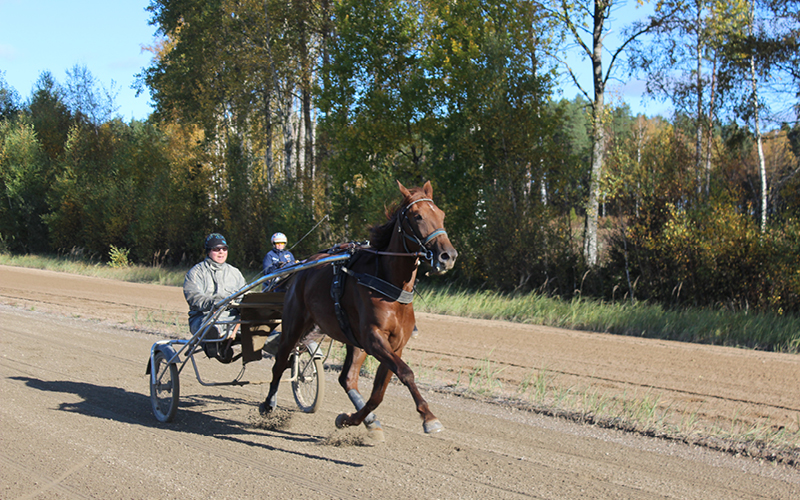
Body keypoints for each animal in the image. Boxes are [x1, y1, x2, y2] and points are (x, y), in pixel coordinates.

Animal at [258, 182, 456, 436]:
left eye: (441, 215)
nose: (448, 256)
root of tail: (301, 269)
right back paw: (268, 404)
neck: (390, 286)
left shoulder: (395, 345)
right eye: (418, 216)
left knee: (347, 378)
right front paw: (429, 417)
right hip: (294, 323)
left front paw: (351, 419)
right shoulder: (373, 338)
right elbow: (406, 373)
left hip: (348, 339)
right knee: (280, 361)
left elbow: (379, 392)